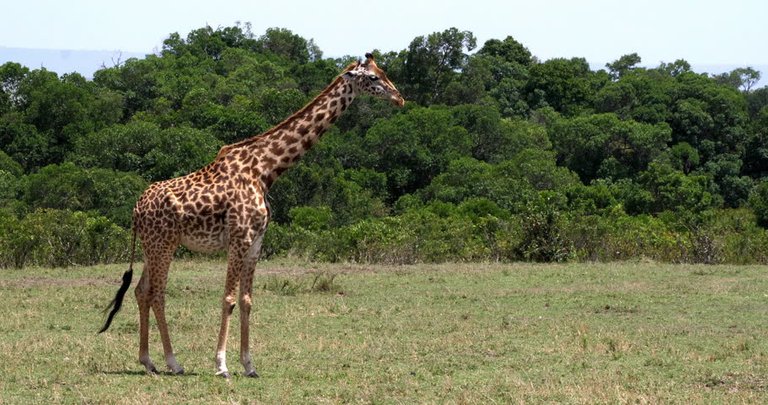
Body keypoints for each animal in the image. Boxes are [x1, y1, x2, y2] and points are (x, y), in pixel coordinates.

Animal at [99, 52, 404, 378]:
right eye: (373, 77)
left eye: (383, 72)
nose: (399, 98)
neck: (266, 170)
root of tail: (136, 209)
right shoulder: (239, 238)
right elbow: (229, 299)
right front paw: (221, 365)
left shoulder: (257, 241)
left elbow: (246, 301)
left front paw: (249, 365)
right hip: (163, 245)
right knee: (157, 293)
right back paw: (173, 362)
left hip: (152, 247)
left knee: (141, 291)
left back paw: (148, 361)